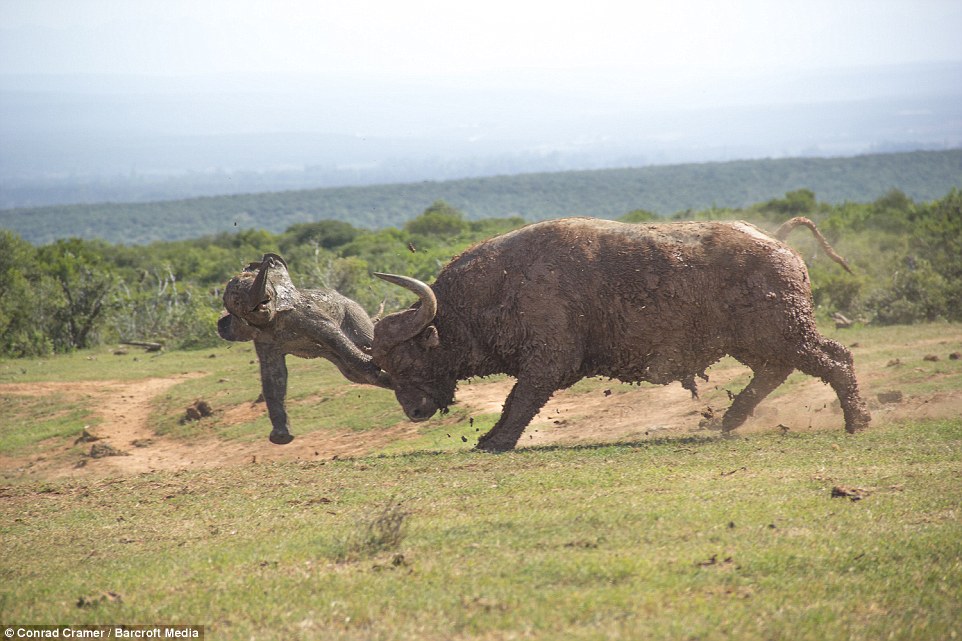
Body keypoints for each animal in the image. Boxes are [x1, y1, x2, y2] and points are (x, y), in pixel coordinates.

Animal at [219, 252, 392, 442]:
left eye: (261, 283)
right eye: (237, 301)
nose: (267, 259)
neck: (273, 319)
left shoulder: (302, 311)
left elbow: (329, 332)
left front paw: (372, 365)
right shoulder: (263, 339)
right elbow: (273, 374)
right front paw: (281, 438)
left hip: (354, 312)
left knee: (364, 345)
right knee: (352, 374)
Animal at [374, 215, 872, 450]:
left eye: (407, 360)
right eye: (385, 369)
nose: (413, 412)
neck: (499, 287)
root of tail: (778, 243)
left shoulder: (546, 362)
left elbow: (519, 402)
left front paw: (493, 442)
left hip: (785, 332)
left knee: (835, 360)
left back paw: (858, 421)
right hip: (757, 340)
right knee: (780, 370)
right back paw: (730, 420)